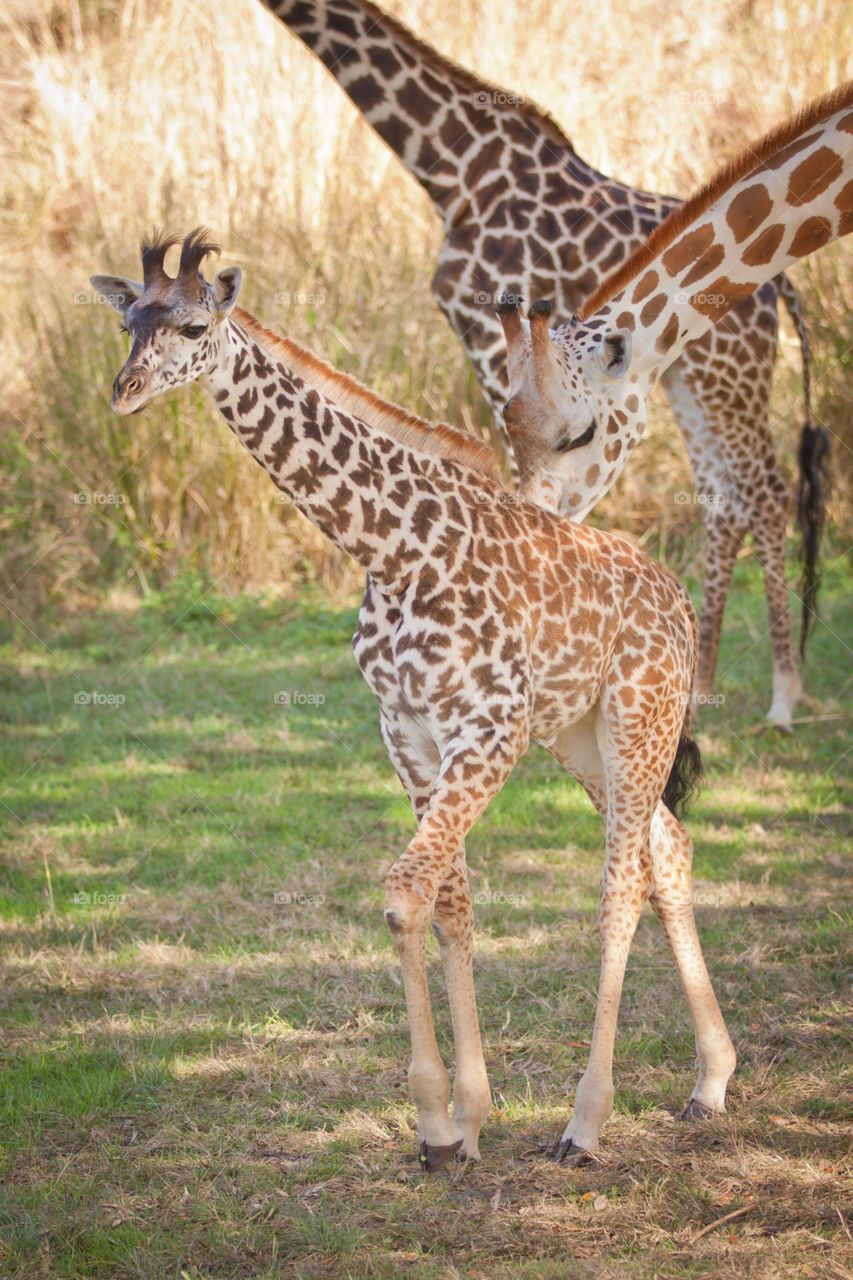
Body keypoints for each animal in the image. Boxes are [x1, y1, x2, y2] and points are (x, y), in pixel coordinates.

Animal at [92, 228, 737, 1167]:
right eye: (128, 324)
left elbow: (402, 897)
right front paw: (461, 1121)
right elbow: (448, 905)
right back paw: (709, 1080)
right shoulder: (410, 732)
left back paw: (585, 1124)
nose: (126, 392)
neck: (393, 548)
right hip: (585, 737)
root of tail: (677, 598)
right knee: (669, 846)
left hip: (636, 717)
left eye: (190, 326)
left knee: (619, 885)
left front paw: (436, 1118)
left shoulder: (489, 729)